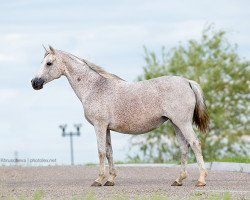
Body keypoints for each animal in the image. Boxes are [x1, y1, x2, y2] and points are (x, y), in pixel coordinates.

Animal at [32, 46, 210, 187]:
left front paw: (98, 180)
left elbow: (101, 152)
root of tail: (187, 82)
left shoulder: (99, 126)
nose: (34, 83)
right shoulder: (107, 128)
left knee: (195, 144)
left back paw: (201, 180)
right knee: (184, 148)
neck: (94, 88)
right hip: (176, 124)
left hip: (183, 123)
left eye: (49, 63)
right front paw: (110, 180)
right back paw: (178, 180)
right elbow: (109, 152)